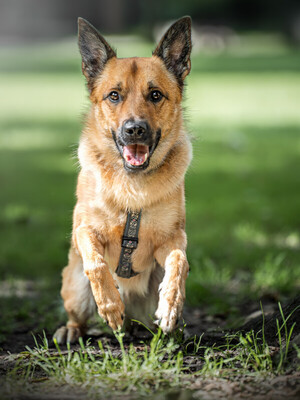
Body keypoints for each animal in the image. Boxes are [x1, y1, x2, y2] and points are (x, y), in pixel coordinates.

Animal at [53, 14, 192, 342]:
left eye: (155, 95)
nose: (134, 130)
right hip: (74, 285)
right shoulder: (84, 230)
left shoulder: (173, 238)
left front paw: (170, 305)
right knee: (79, 312)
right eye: (114, 96)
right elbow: (97, 264)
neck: (133, 184)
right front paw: (110, 305)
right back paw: (75, 329)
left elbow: (179, 262)